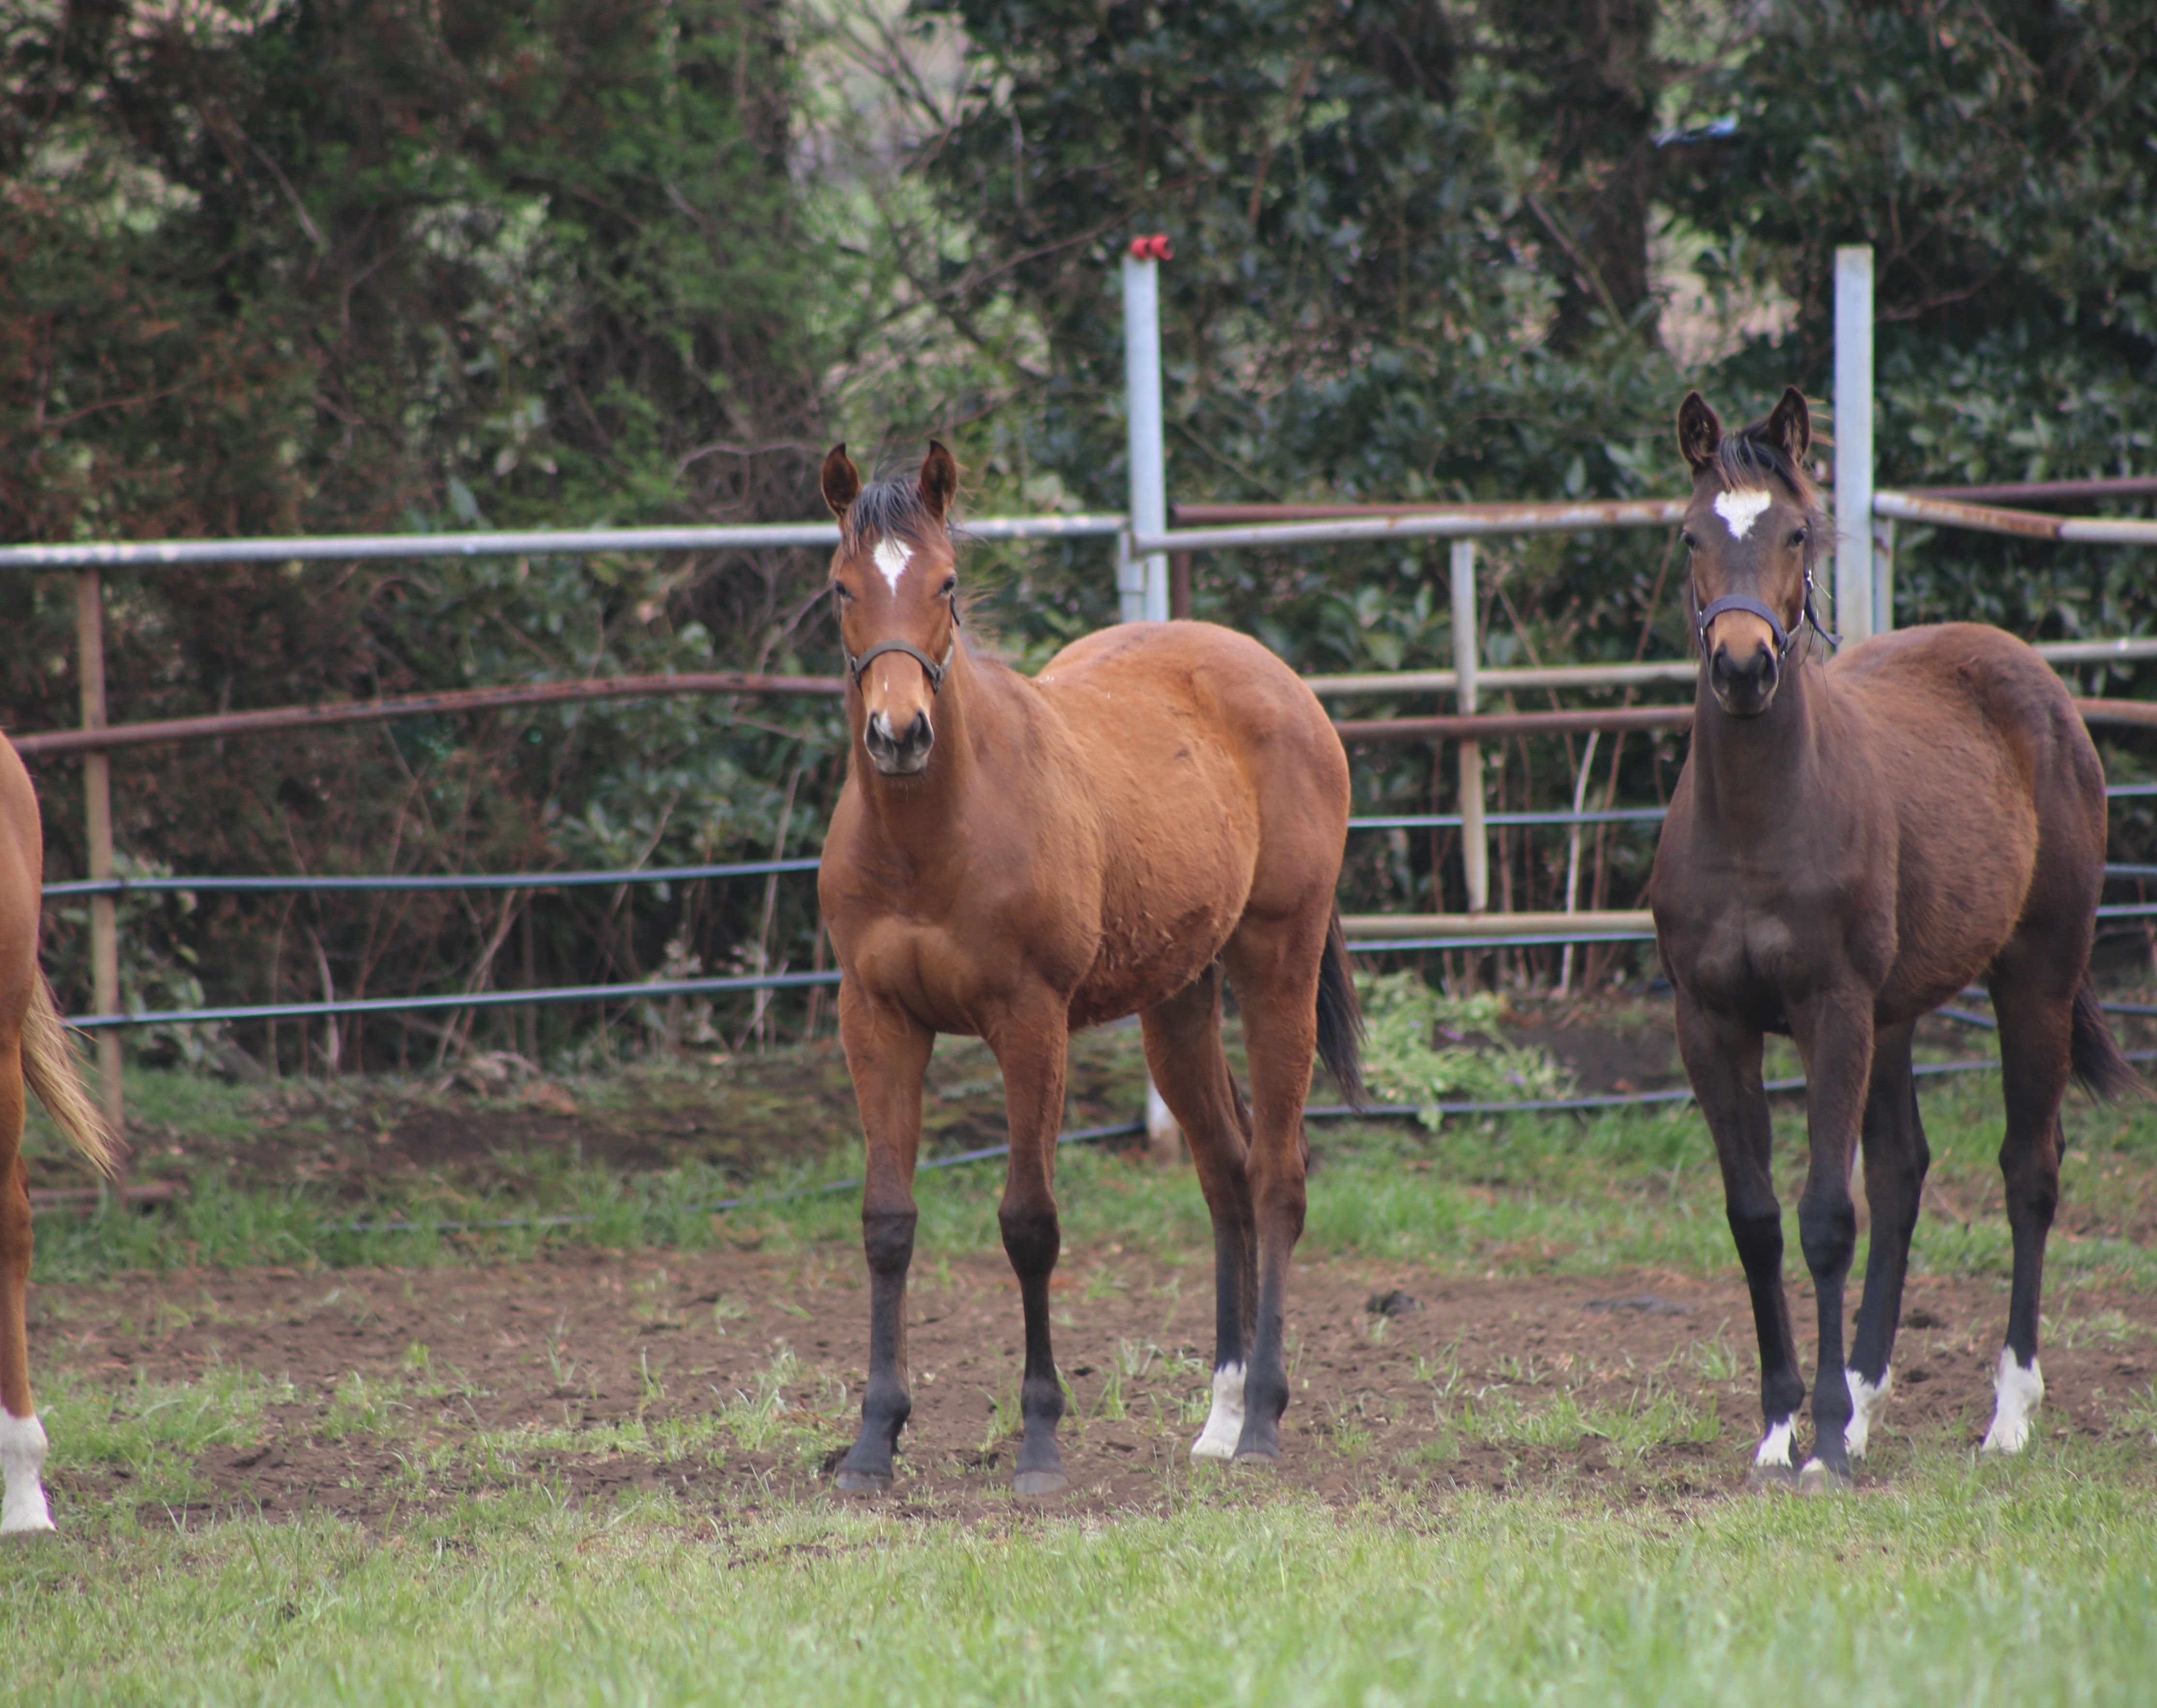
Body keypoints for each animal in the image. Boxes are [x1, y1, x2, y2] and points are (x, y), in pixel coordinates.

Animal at [815, 444, 1354, 1492]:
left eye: (947, 583)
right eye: (841, 587)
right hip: (1177, 1003)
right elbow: (886, 1222)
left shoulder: (1029, 1021)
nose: (899, 734)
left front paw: (1039, 1439)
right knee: (1226, 1175)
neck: (930, 836)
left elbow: (1029, 1222)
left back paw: (1263, 1420)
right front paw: (872, 1441)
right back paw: (1221, 1416)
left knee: (1277, 1175)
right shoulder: (878, 1020)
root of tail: (1279, 682)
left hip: (1277, 960)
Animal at [1648, 394, 2140, 1483]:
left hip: (2033, 976)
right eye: (1692, 535)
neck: (1754, 822)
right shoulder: (1710, 1024)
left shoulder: (1830, 1011)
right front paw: (1783, 1427)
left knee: (2028, 1169)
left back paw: (2006, 1413)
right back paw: (1869, 1393)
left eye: (1795, 533)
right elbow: (1757, 1220)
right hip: (1897, 1011)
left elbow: (1826, 1217)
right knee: (1904, 1170)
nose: (1740, 666)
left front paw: (1826, 1443)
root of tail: (2034, 681)